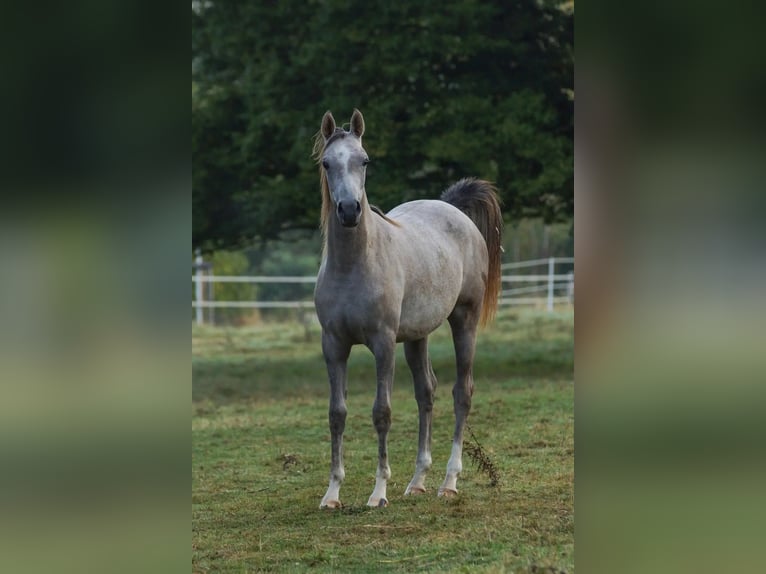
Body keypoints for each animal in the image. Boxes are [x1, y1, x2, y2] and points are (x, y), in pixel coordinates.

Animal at [312, 108, 504, 508]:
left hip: (464, 319)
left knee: (462, 392)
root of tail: (454, 209)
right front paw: (332, 493)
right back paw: (417, 481)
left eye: (364, 160)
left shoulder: (383, 343)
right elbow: (337, 414)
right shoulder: (333, 345)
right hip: (417, 336)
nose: (349, 210)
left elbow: (381, 412)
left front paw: (378, 492)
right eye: (326, 163)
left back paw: (449, 482)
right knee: (426, 393)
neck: (354, 265)